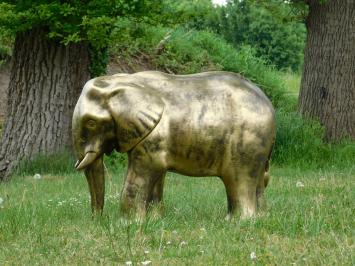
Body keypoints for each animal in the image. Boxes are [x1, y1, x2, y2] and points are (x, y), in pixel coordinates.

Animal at [72, 71, 276, 218]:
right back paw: (261, 218)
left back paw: (238, 221)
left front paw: (128, 223)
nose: (98, 219)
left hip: (246, 142)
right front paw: (154, 220)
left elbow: (144, 172)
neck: (123, 80)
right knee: (257, 180)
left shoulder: (154, 137)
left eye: (91, 122)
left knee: (239, 179)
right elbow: (157, 175)